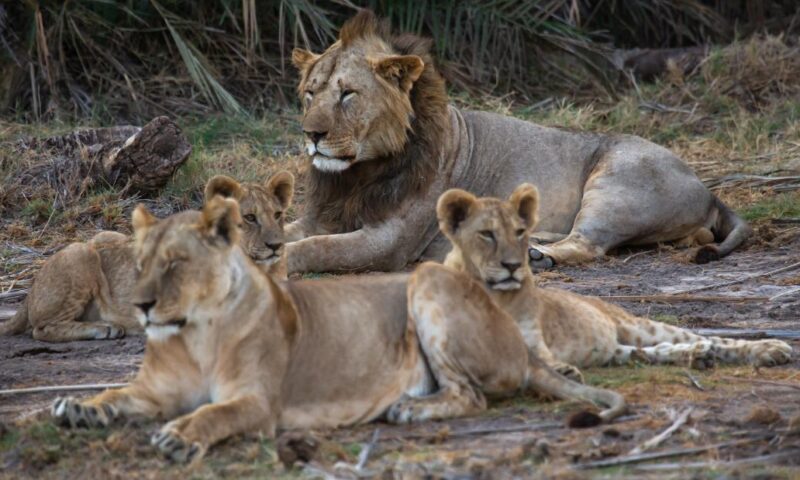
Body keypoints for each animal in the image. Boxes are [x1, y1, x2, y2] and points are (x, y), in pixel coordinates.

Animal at [0, 171, 294, 342]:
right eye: (250, 217)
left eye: (278, 215)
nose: (276, 245)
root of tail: (29, 292)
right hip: (81, 252)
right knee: (41, 329)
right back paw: (105, 328)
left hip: (105, 235)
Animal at [51, 195, 625, 463]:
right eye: (141, 263)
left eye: (174, 264)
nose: (142, 306)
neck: (193, 334)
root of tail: (521, 348)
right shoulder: (152, 391)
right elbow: (115, 395)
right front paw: (77, 406)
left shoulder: (259, 403)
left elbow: (215, 413)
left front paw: (179, 436)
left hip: (426, 278)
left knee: (471, 395)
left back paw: (409, 408)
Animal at [284, 10, 749, 275]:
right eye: (310, 92)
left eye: (347, 95)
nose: (312, 134)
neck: (356, 175)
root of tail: (709, 190)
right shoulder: (322, 216)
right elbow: (288, 232)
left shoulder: (390, 242)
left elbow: (315, 249)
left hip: (615, 184)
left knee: (590, 245)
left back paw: (539, 257)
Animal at [436, 183, 792, 380]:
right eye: (486, 234)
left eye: (518, 232)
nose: (512, 264)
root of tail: (711, 197)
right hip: (618, 345)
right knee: (650, 351)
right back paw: (695, 356)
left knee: (711, 339)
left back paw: (769, 349)